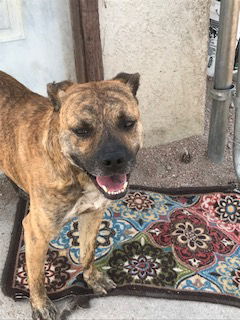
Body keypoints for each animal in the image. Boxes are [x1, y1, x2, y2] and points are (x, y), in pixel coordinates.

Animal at [0, 71, 142, 318]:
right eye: (81, 131)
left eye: (127, 123)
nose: (115, 160)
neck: (76, 174)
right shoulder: (36, 233)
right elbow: (36, 276)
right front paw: (40, 304)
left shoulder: (92, 215)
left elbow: (87, 252)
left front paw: (92, 278)